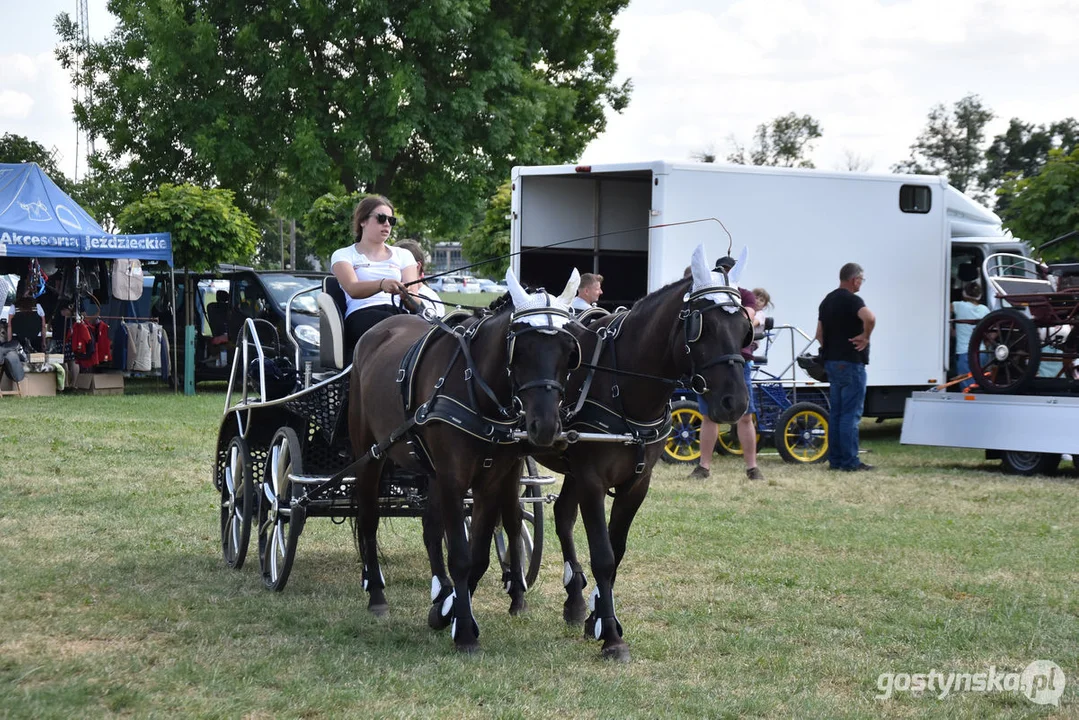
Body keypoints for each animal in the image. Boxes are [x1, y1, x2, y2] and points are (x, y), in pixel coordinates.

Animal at [347, 269, 582, 651]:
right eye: (521, 349)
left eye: (568, 351)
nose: (545, 426)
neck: (478, 391)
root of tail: (379, 330)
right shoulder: (454, 479)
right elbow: (459, 554)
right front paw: (464, 631)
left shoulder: (489, 481)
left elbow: (479, 556)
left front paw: (451, 611)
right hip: (370, 454)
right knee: (368, 521)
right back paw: (377, 594)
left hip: (431, 472)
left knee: (431, 529)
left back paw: (440, 590)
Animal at [528, 246, 750, 660]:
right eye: (704, 328)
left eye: (745, 329)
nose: (736, 402)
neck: (620, 382)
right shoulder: (592, 480)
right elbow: (603, 555)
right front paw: (612, 639)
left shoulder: (636, 483)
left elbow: (616, 553)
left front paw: (600, 620)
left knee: (563, 515)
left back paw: (574, 599)